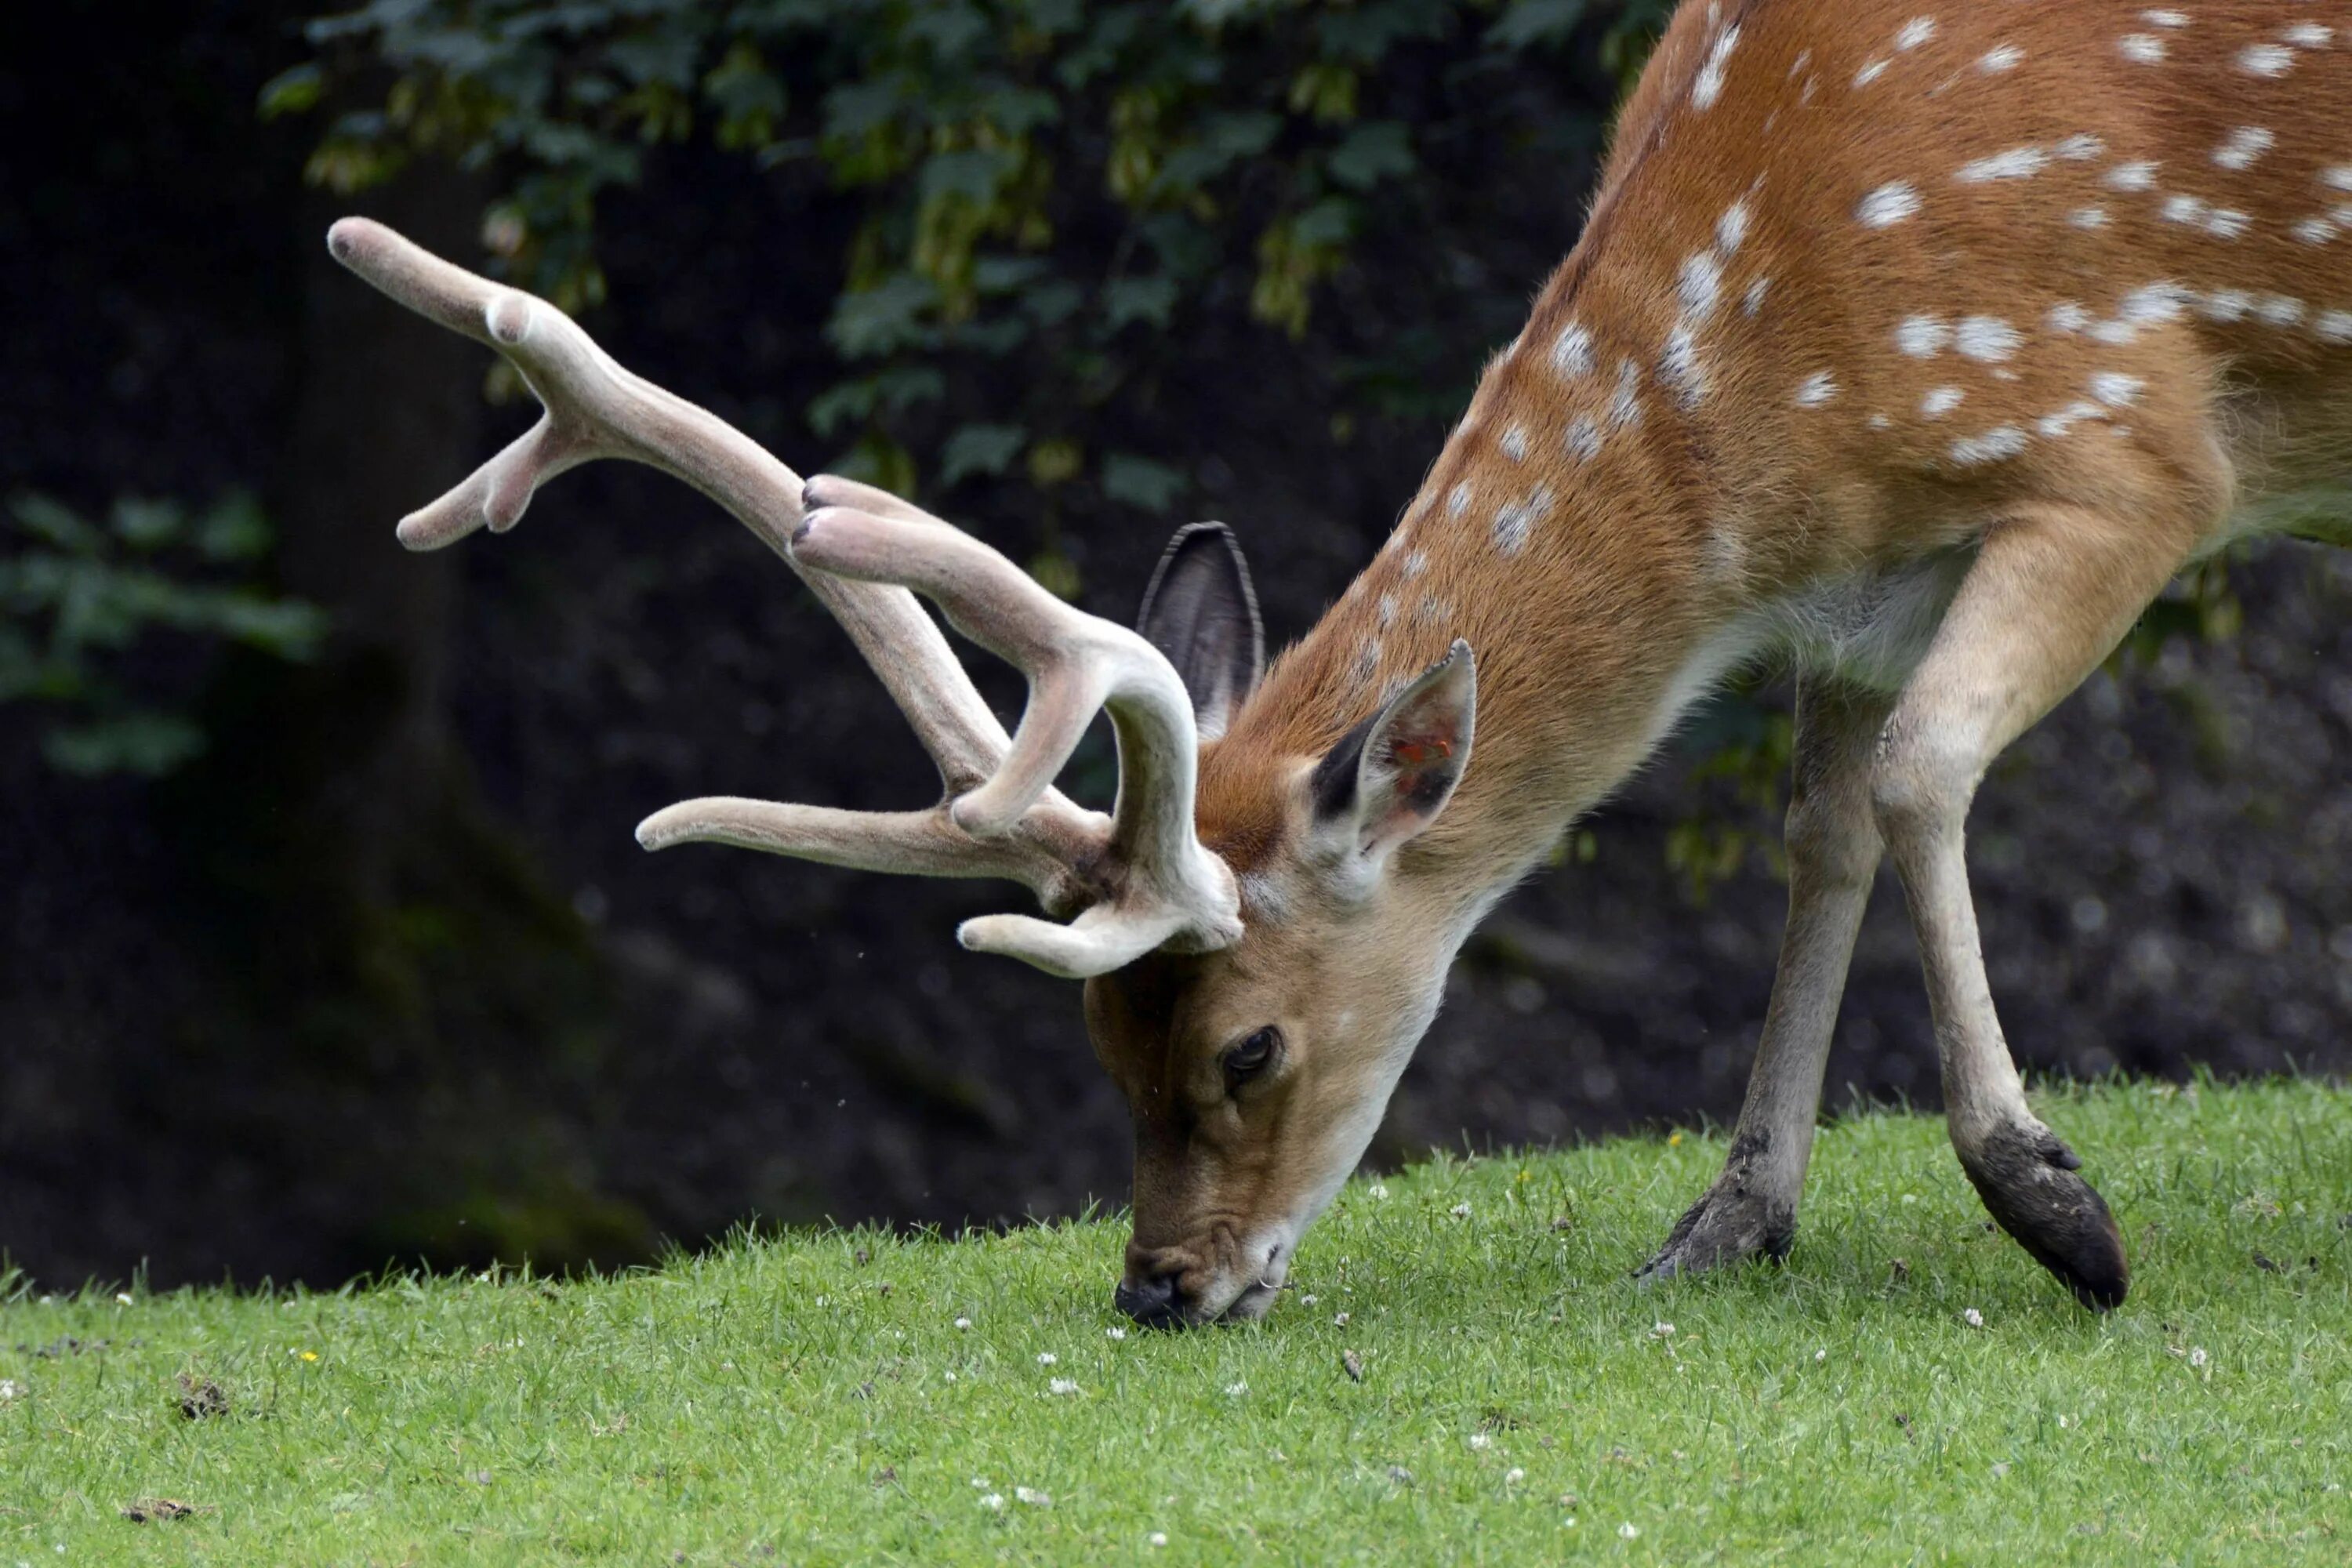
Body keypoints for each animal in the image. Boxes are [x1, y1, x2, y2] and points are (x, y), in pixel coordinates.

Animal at [332, 0, 2352, 1326]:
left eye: (1249, 1044)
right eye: (1097, 1038)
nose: (1158, 1284)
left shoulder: (2128, 445)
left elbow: (1925, 767)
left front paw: (2054, 1206)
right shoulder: (1863, 582)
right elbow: (1824, 828)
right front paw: (1727, 1219)